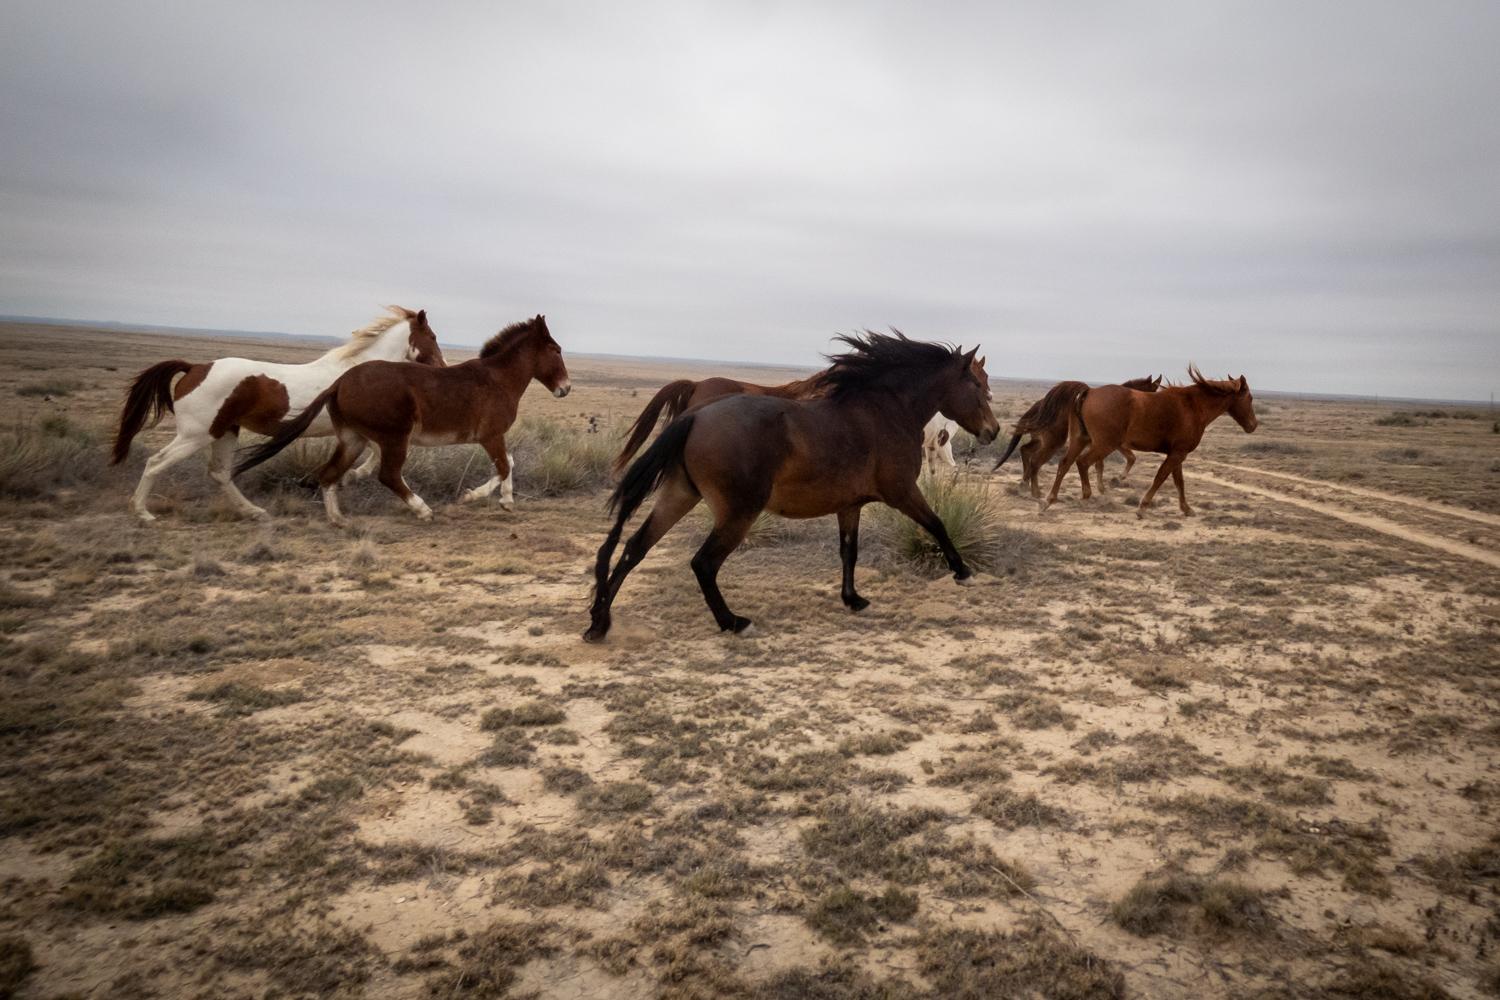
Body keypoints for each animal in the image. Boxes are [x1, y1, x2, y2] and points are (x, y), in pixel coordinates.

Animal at [111, 306, 446, 522]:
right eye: (432, 337)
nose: (442, 367)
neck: (358, 370)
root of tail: (195, 368)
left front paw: (345, 479)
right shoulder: (372, 430)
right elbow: (378, 458)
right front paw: (352, 477)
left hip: (225, 431)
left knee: (220, 473)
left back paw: (254, 512)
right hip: (196, 434)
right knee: (157, 462)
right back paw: (142, 512)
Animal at [233, 315, 570, 526]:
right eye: (555, 350)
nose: (566, 388)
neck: (497, 379)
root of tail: (340, 382)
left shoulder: (493, 438)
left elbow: (508, 463)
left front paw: (507, 501)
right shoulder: (490, 435)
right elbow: (502, 466)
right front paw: (471, 496)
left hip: (353, 439)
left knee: (328, 474)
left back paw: (338, 519)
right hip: (395, 437)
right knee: (388, 475)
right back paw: (423, 510)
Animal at [582, 331, 999, 642]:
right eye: (979, 384)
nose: (993, 431)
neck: (886, 412)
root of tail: (696, 415)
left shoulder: (850, 505)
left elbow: (849, 552)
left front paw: (853, 599)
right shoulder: (902, 492)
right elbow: (937, 524)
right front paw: (962, 571)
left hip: (679, 495)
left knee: (634, 548)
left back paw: (599, 624)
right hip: (738, 512)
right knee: (703, 563)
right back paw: (733, 622)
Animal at [991, 375, 1162, 496]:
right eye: (1153, 392)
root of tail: (1036, 407)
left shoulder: (1101, 443)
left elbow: (1101, 464)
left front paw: (1102, 487)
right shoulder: (1113, 443)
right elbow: (1129, 458)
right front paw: (1114, 481)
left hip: (1040, 440)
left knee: (1025, 451)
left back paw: (1024, 484)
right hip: (1051, 441)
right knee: (1034, 459)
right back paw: (1033, 489)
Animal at [1042, 366, 1258, 517]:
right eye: (1250, 398)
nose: (1253, 425)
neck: (1193, 406)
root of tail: (1089, 392)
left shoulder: (1177, 453)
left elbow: (1179, 481)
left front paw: (1186, 509)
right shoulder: (1178, 453)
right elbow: (1161, 477)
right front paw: (1142, 508)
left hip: (1081, 439)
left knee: (1065, 463)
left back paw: (1049, 500)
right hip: (1104, 444)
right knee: (1082, 462)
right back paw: (1086, 494)